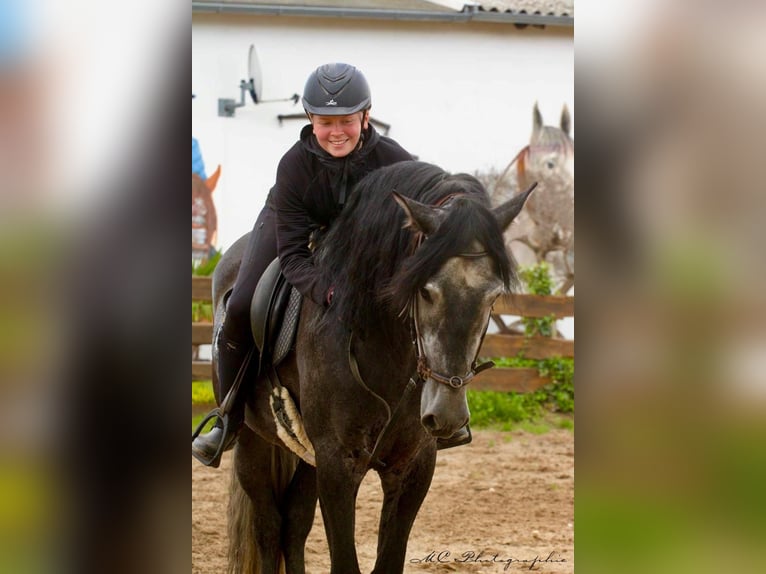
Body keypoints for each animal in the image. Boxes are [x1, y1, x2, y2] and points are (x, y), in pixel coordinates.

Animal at [213, 160, 533, 573]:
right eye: (425, 290)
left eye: (493, 296)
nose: (446, 415)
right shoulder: (337, 465)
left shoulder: (412, 467)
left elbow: (388, 559)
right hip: (254, 441)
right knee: (268, 526)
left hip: (306, 456)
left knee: (294, 525)